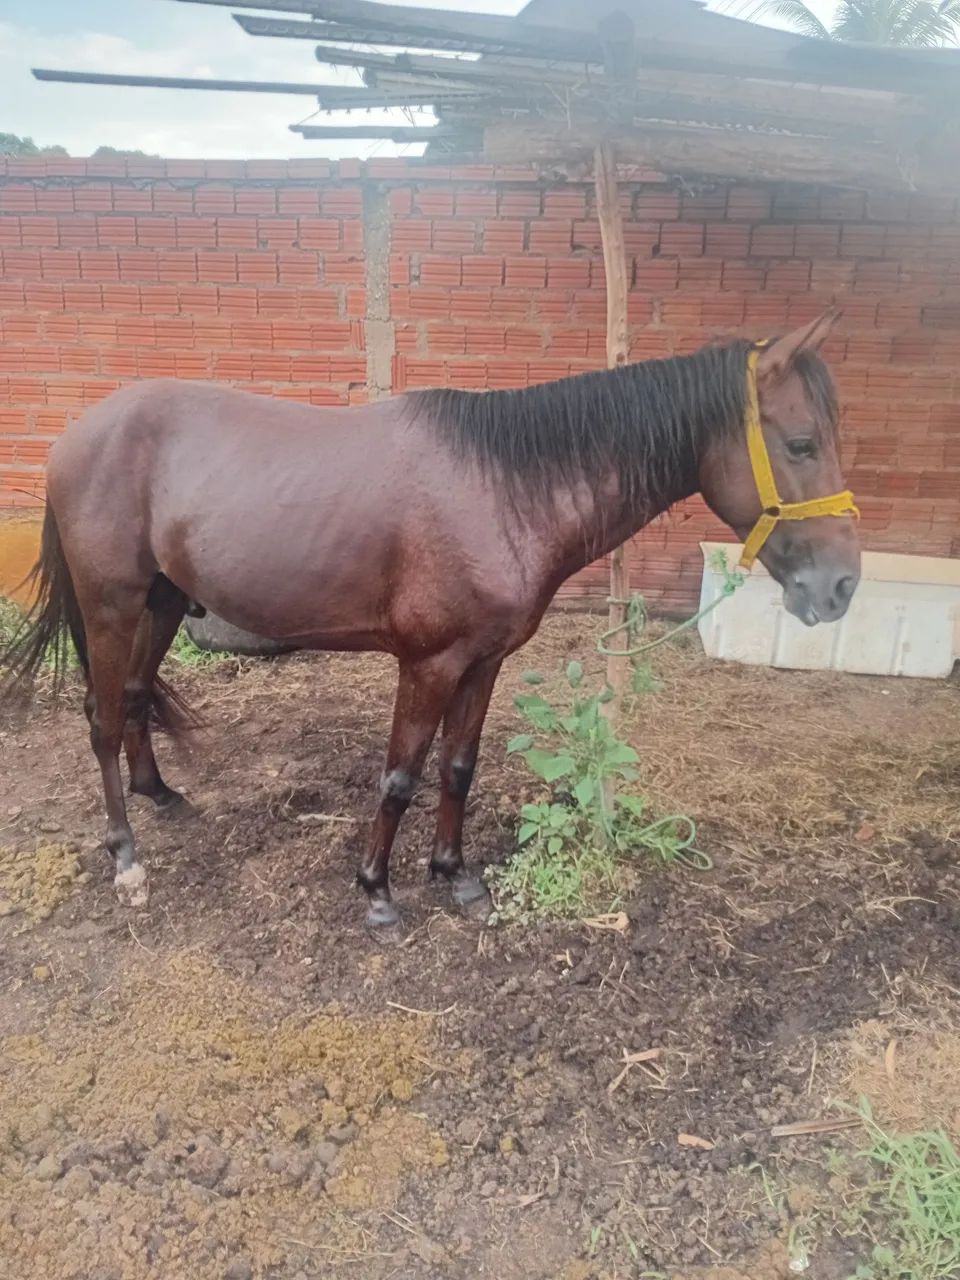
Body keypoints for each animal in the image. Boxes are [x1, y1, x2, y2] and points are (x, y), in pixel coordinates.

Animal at [2, 309, 861, 933]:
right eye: (800, 443)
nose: (842, 586)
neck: (503, 487)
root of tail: (77, 435)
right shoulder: (429, 663)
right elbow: (400, 777)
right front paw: (377, 891)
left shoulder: (484, 661)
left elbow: (457, 768)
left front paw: (456, 876)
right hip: (112, 603)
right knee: (102, 718)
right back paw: (126, 856)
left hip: (164, 601)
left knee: (133, 698)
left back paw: (160, 796)